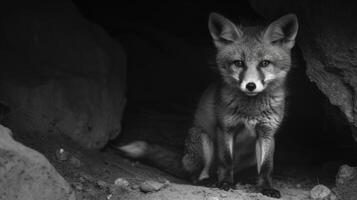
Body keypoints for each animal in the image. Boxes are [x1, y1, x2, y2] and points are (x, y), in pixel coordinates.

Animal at [117, 12, 298, 198]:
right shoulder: (226, 128)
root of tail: (183, 157)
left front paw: (266, 188)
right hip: (204, 141)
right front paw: (225, 183)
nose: (250, 85)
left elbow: (267, 167)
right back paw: (209, 181)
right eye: (239, 63)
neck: (251, 110)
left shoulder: (267, 133)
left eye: (264, 63)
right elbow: (226, 161)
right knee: (196, 176)